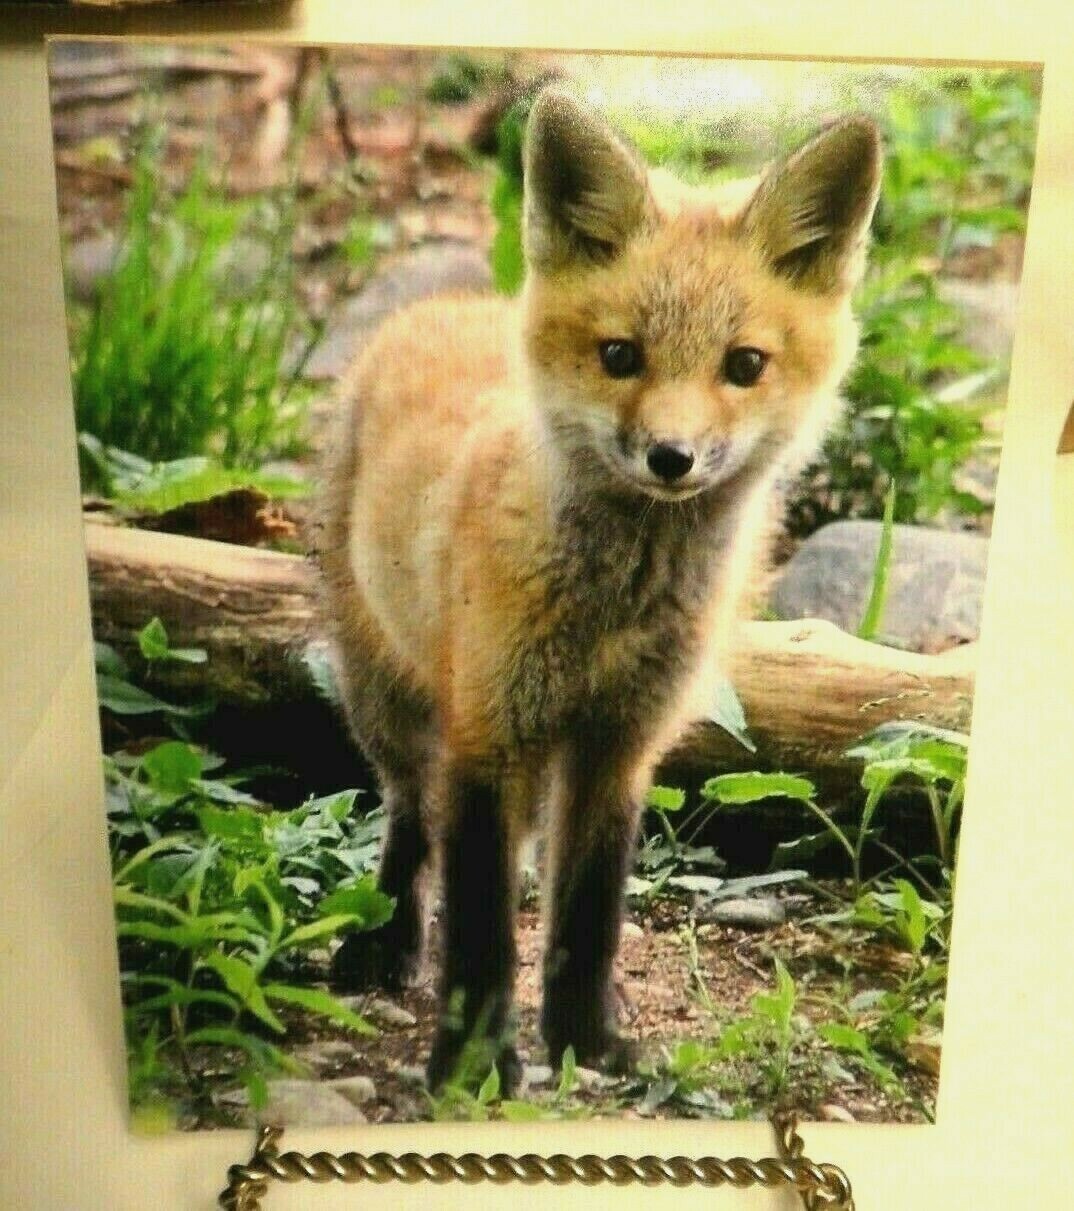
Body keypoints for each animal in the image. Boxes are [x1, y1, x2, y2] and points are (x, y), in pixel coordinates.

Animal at [316, 87, 882, 1092]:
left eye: (744, 365)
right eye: (620, 355)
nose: (672, 457)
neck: (614, 610)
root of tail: (440, 306)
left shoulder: (621, 744)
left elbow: (585, 916)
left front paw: (585, 1040)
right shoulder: (487, 732)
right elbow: (481, 929)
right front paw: (472, 1065)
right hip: (389, 701)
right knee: (410, 822)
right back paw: (386, 943)